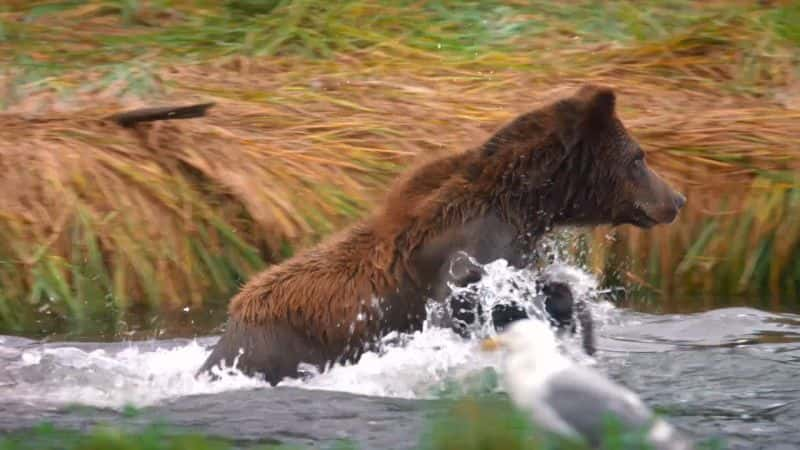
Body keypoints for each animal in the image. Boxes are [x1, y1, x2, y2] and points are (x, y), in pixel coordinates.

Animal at [197, 83, 684, 384]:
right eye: (639, 157)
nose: (676, 199)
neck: (524, 204)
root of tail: (234, 323)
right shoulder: (473, 251)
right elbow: (471, 300)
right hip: (282, 347)